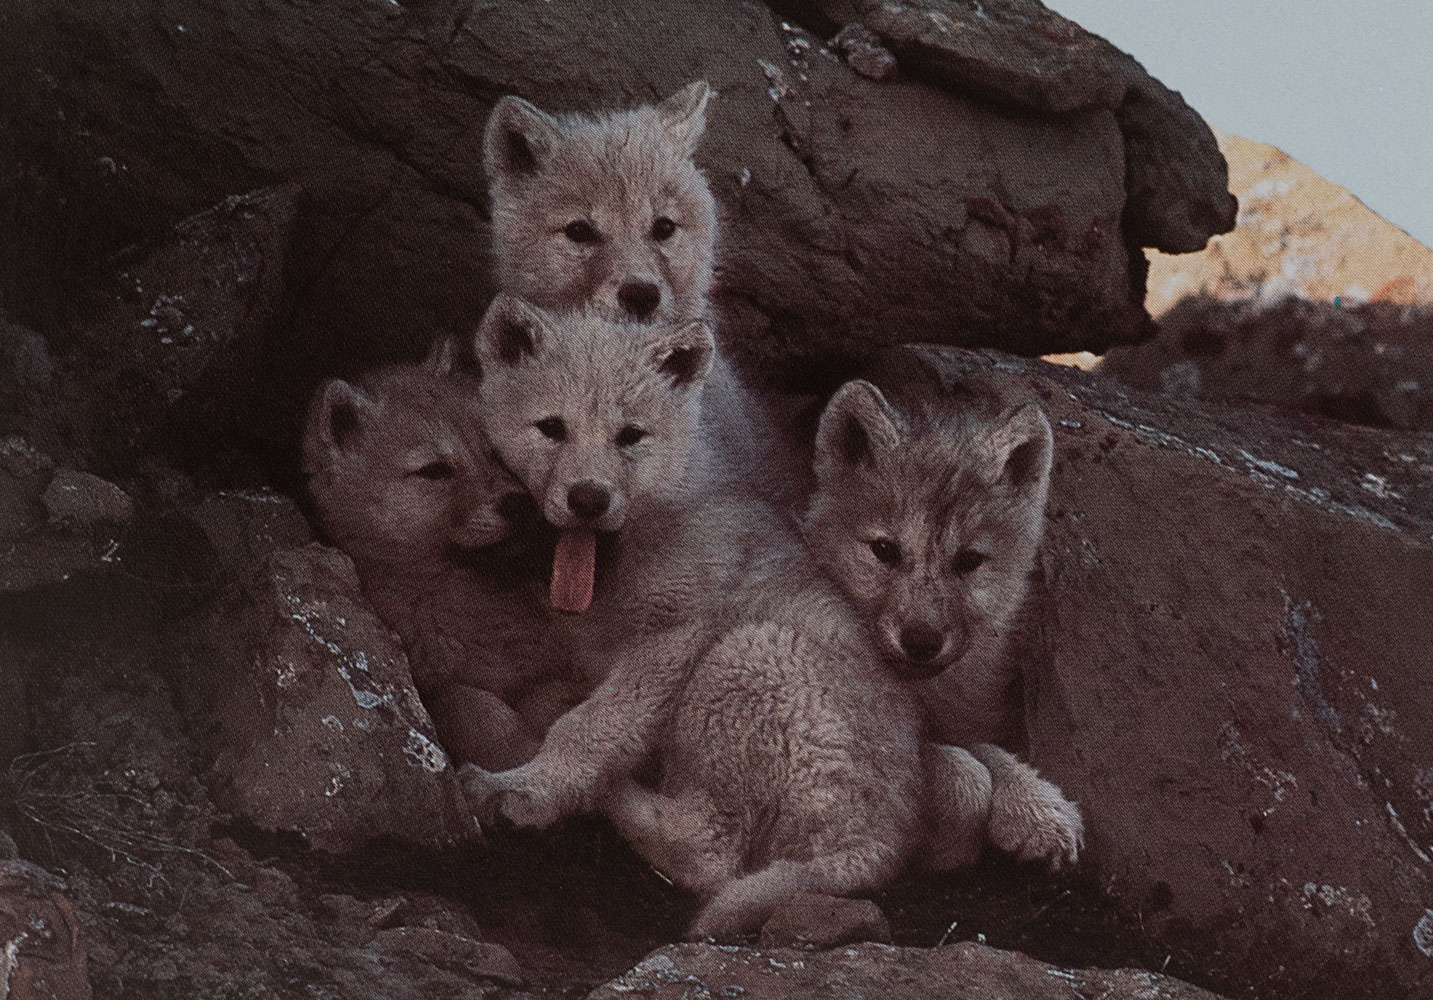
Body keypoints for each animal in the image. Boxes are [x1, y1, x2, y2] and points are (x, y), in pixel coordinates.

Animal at [300, 346, 589, 771]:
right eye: (434, 470)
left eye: (493, 450)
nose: (518, 504)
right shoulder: (435, 689)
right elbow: (472, 707)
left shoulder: (552, 670)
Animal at [455, 295, 994, 938]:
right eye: (551, 428)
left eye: (630, 436)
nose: (588, 498)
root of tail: (875, 850)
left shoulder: (675, 636)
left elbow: (590, 727)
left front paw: (530, 789)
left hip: (742, 658)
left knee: (706, 852)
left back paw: (610, 792)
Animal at [802, 347, 1084, 867]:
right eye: (885, 550)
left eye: (968, 561)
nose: (921, 641)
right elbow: (959, 772)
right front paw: (950, 843)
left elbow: (985, 748)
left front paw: (1040, 809)